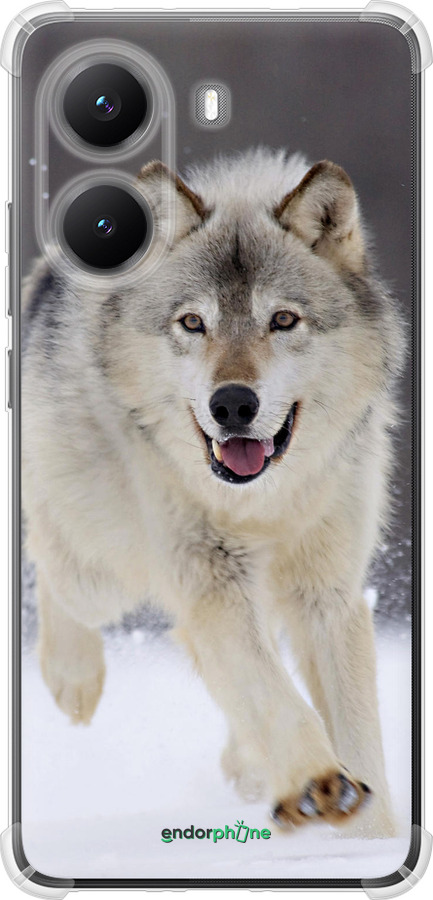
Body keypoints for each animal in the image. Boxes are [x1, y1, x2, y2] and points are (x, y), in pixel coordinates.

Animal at [22, 148, 404, 837]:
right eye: (193, 323)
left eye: (283, 320)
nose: (232, 404)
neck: (263, 504)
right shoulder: (210, 580)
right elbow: (274, 695)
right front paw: (318, 782)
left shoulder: (327, 593)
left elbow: (357, 732)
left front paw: (372, 837)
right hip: (103, 571)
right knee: (50, 561)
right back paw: (74, 680)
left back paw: (249, 767)